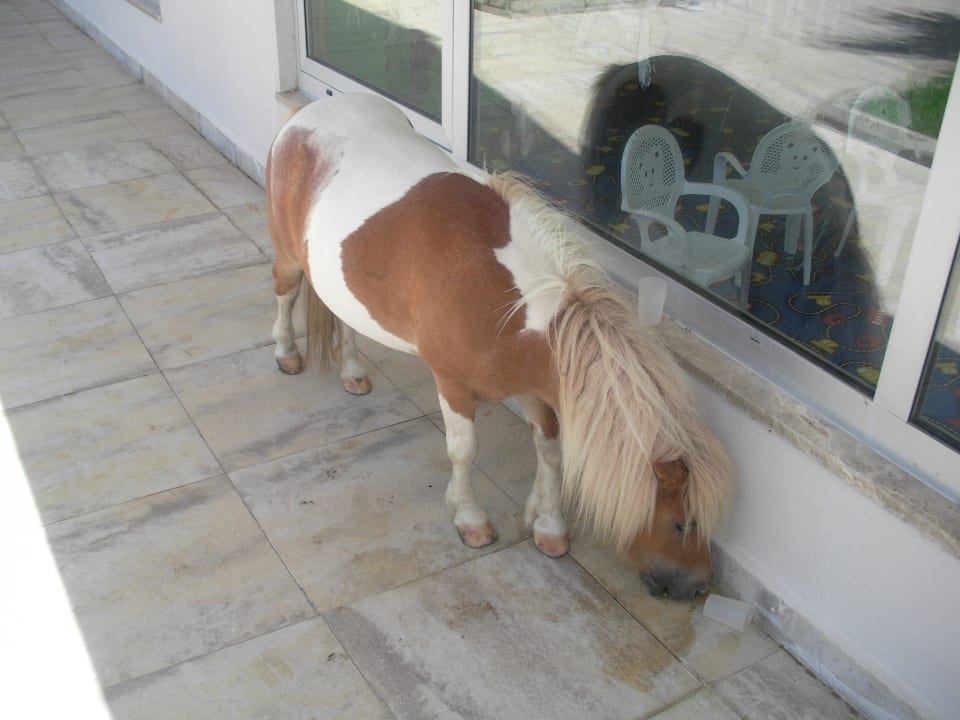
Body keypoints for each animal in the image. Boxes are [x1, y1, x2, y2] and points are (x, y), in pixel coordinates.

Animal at [266, 93, 734, 600]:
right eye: (682, 523)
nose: (696, 588)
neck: (509, 303)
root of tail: (307, 114)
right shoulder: (453, 385)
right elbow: (464, 451)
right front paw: (469, 518)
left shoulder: (535, 386)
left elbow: (550, 452)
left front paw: (548, 525)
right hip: (289, 260)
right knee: (285, 295)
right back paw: (286, 353)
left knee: (344, 323)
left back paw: (351, 371)